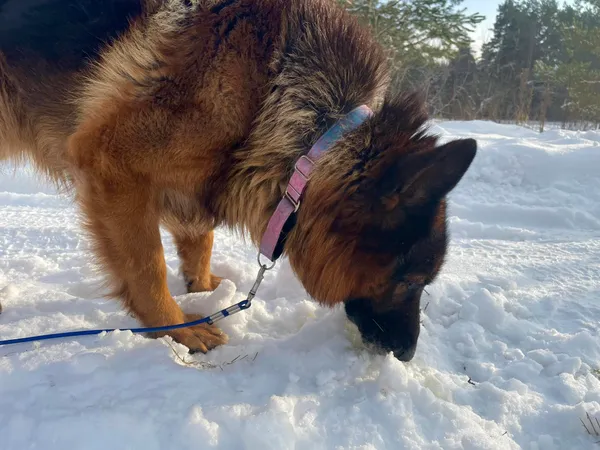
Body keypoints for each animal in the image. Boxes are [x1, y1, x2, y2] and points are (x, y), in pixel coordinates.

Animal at [1, 0, 478, 360]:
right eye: (412, 282)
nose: (408, 354)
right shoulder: (111, 167)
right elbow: (147, 266)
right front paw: (178, 329)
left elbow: (200, 236)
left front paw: (203, 287)